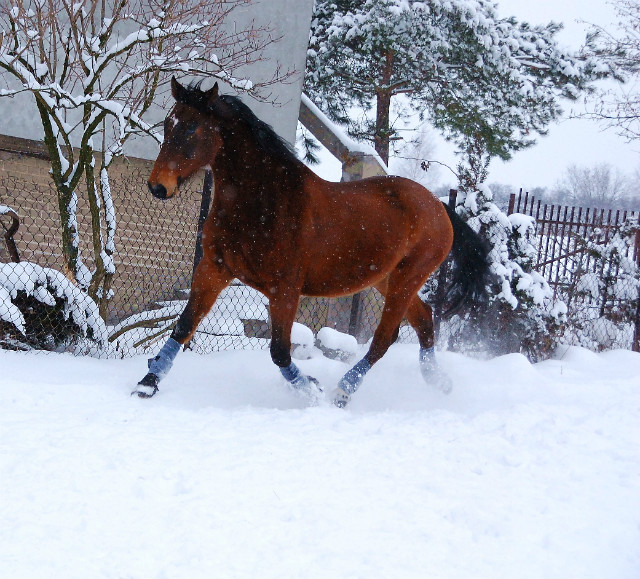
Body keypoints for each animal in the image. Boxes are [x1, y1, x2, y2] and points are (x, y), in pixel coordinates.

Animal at [132, 78, 488, 408]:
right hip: (387, 279)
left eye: (193, 127)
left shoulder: (285, 288)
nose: (158, 187)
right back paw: (438, 381)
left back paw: (343, 391)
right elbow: (184, 326)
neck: (262, 202)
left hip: (408, 276)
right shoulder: (214, 268)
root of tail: (439, 206)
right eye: (168, 124)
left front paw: (312, 391)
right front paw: (148, 383)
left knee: (384, 339)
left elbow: (279, 352)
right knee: (425, 319)